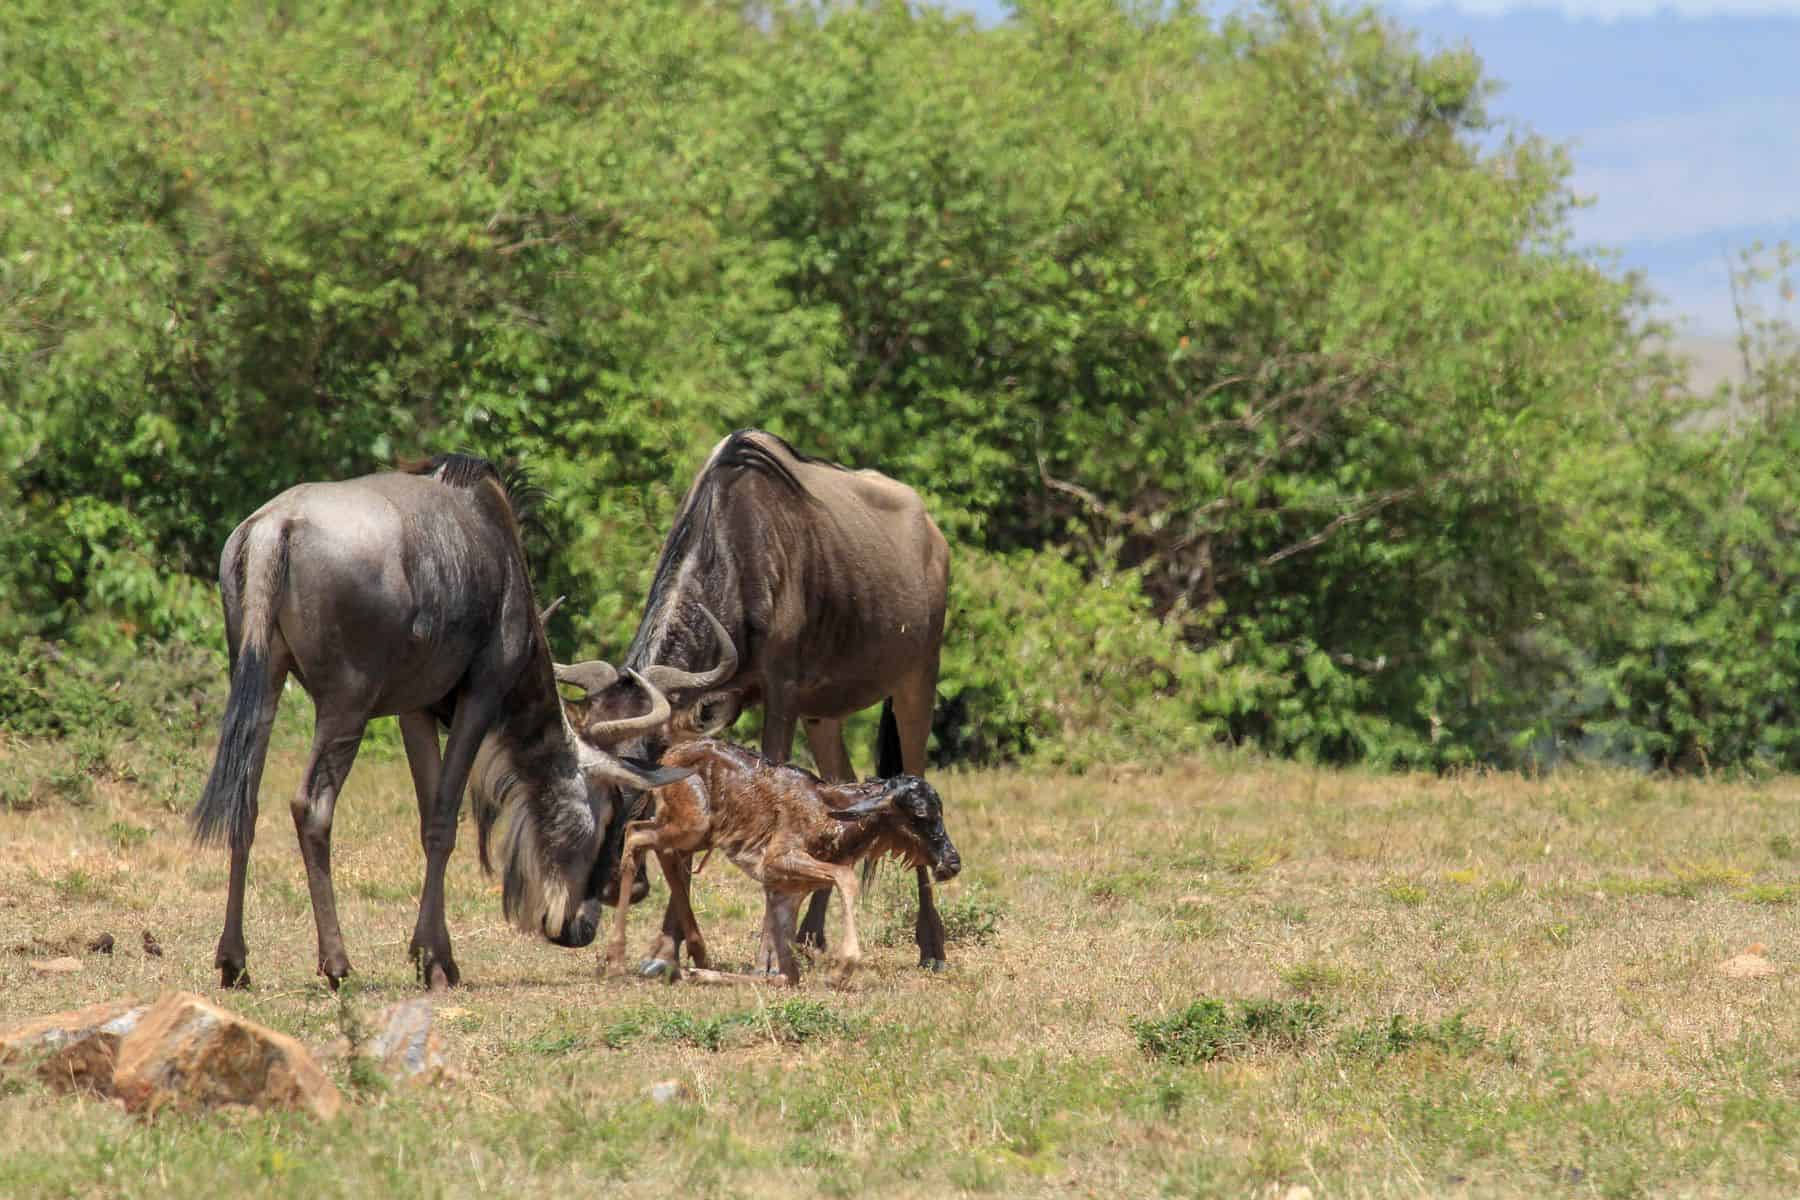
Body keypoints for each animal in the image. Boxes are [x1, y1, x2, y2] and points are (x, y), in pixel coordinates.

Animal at [191, 453, 692, 991]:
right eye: (609, 815)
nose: (580, 929)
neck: (500, 552)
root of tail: (276, 526)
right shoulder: (481, 695)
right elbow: (443, 821)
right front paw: (434, 960)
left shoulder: (414, 709)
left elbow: (428, 807)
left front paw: (432, 952)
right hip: (346, 704)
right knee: (312, 807)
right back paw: (337, 963)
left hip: (260, 677)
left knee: (244, 803)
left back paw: (234, 961)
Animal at [570, 429, 954, 969]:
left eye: (639, 777)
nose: (604, 887)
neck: (737, 548)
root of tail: (934, 537)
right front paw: (669, 951)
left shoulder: (781, 696)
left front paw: (767, 950)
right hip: (824, 714)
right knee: (843, 781)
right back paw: (812, 934)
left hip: (916, 681)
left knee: (915, 774)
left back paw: (931, 945)